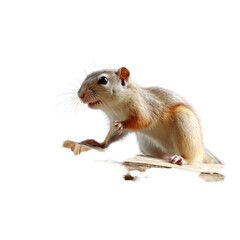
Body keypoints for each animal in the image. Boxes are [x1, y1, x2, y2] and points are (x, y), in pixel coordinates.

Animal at [77, 67, 221, 165]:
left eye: (103, 80)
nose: (80, 95)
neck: (114, 107)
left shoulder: (145, 108)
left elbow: (143, 121)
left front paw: (122, 124)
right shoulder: (114, 120)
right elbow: (112, 135)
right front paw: (100, 143)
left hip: (184, 121)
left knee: (195, 158)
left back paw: (183, 158)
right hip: (148, 146)